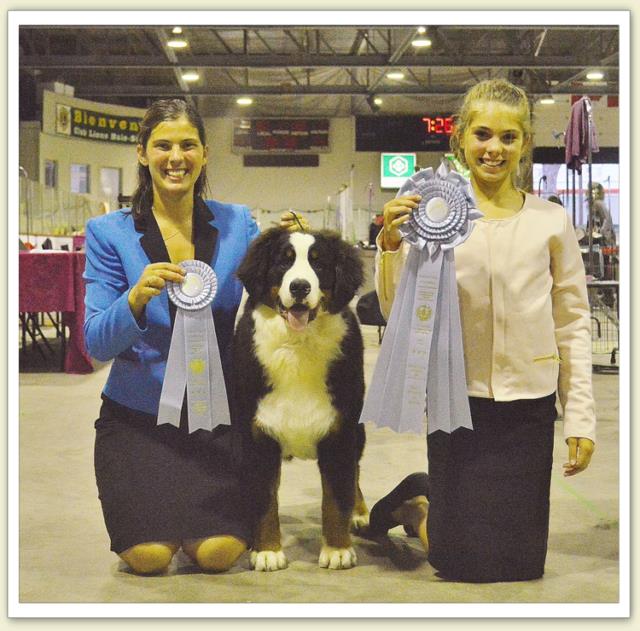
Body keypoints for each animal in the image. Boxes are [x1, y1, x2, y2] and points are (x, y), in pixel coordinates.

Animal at [232, 227, 368, 572]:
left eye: (319, 264)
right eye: (284, 261)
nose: (300, 286)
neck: (297, 346)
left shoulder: (340, 432)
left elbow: (337, 498)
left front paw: (338, 550)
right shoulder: (258, 434)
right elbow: (265, 499)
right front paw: (267, 551)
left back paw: (360, 512)